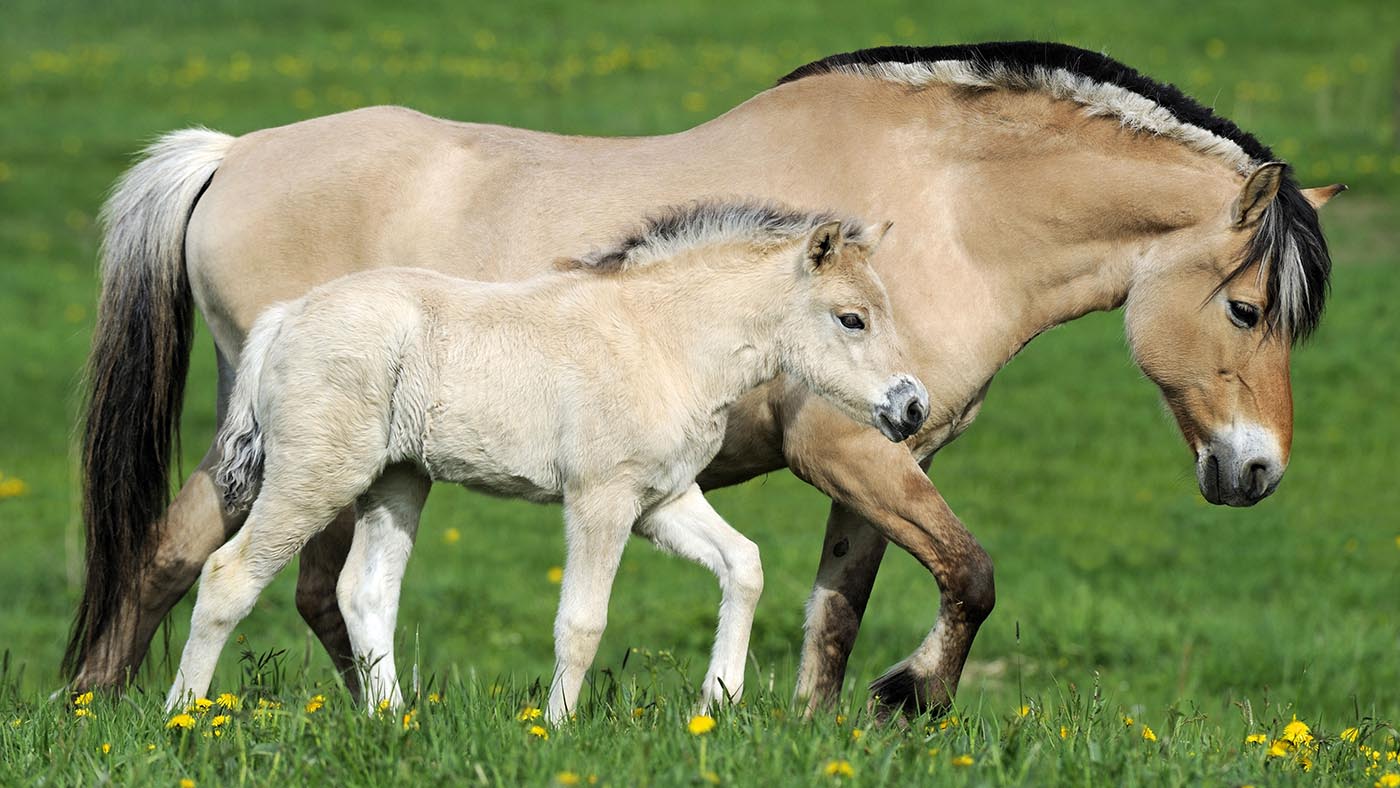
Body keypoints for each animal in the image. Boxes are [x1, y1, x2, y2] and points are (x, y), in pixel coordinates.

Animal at [163, 201, 928, 719]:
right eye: (852, 318)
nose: (913, 407)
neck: (663, 339)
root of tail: (285, 317)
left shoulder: (663, 499)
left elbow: (745, 564)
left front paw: (718, 702)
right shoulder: (601, 499)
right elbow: (582, 622)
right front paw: (557, 727)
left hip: (397, 480)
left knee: (367, 592)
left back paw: (393, 720)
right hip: (314, 476)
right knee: (229, 576)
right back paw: (181, 717)